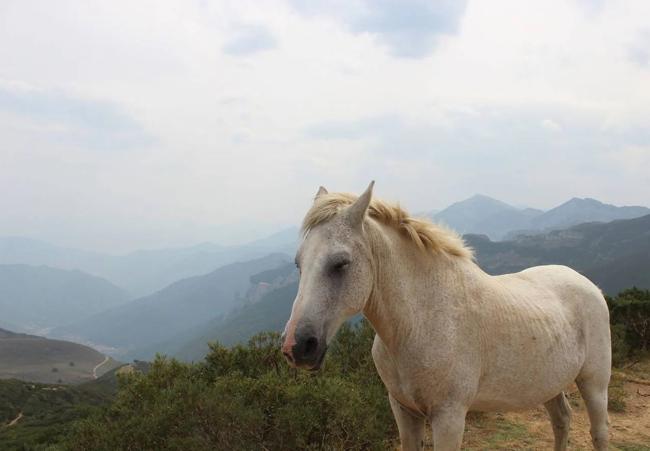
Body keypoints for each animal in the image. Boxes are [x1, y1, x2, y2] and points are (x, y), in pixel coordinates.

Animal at [280, 184, 612, 451]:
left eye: (341, 263)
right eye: (298, 263)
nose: (297, 346)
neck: (419, 323)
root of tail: (587, 284)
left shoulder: (449, 416)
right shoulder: (403, 411)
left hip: (594, 383)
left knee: (599, 432)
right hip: (548, 384)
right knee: (562, 421)